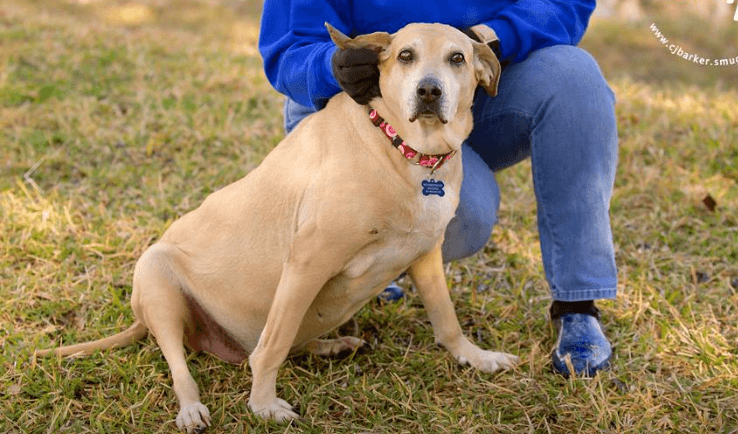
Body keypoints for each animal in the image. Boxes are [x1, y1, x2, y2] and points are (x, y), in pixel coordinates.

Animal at [36, 22, 516, 430]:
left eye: (457, 58)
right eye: (405, 55)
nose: (429, 91)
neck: (406, 152)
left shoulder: (425, 255)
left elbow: (446, 321)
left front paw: (475, 357)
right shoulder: (307, 262)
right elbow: (272, 346)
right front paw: (263, 406)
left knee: (286, 341)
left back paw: (330, 345)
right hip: (157, 278)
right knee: (182, 364)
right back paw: (191, 409)